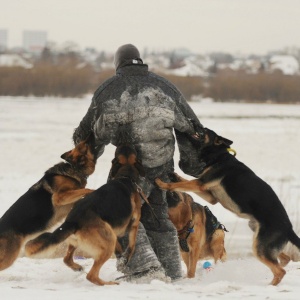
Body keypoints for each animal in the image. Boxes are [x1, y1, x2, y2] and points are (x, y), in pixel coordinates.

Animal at [0, 134, 96, 272]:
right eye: (83, 145)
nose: (91, 134)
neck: (73, 167)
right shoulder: (59, 197)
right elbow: (86, 189)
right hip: (9, 256)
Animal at [25, 138, 145, 286]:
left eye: (122, 151)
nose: (125, 142)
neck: (125, 176)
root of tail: (73, 221)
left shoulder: (113, 229)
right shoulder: (134, 223)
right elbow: (132, 245)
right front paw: (126, 257)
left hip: (79, 241)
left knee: (67, 259)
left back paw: (78, 267)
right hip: (107, 243)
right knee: (91, 276)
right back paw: (108, 283)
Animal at [156, 127, 300, 286]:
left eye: (204, 130)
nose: (195, 126)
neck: (220, 155)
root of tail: (289, 228)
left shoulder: (200, 184)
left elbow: (180, 184)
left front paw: (162, 183)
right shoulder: (210, 195)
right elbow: (182, 180)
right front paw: (173, 174)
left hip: (259, 247)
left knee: (280, 271)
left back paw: (269, 286)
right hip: (260, 239)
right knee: (284, 259)